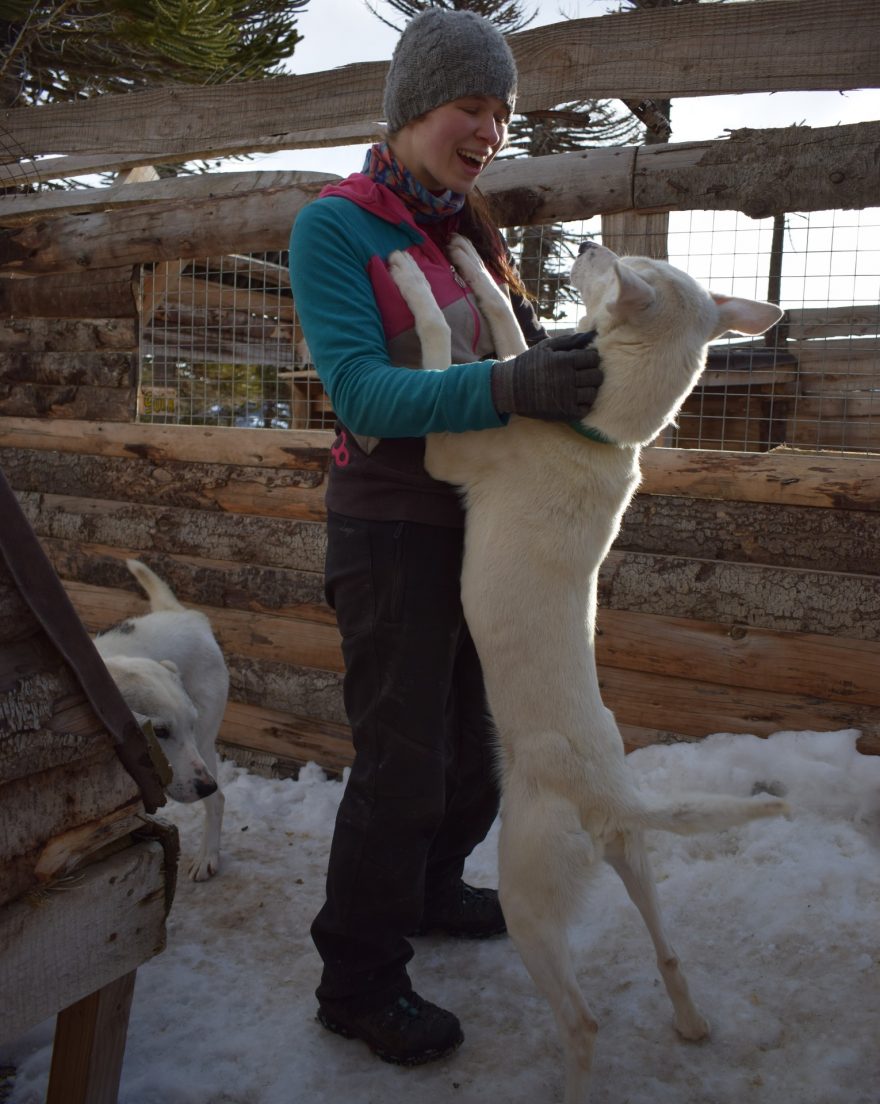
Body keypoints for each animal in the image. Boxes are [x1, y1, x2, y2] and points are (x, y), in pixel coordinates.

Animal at [93, 560, 229, 878]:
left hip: (203, 744)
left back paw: (207, 855)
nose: (206, 785)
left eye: (187, 724)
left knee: (218, 801)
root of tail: (183, 615)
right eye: (160, 731)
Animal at [388, 239, 786, 1104]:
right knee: (668, 951)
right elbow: (508, 333)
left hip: (529, 901)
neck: (601, 430)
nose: (587, 245)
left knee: (583, 1022)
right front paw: (470, 259)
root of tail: (607, 800)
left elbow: (437, 343)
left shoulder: (443, 450)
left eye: (622, 262)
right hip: (635, 860)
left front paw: (412, 275)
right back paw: (691, 1025)